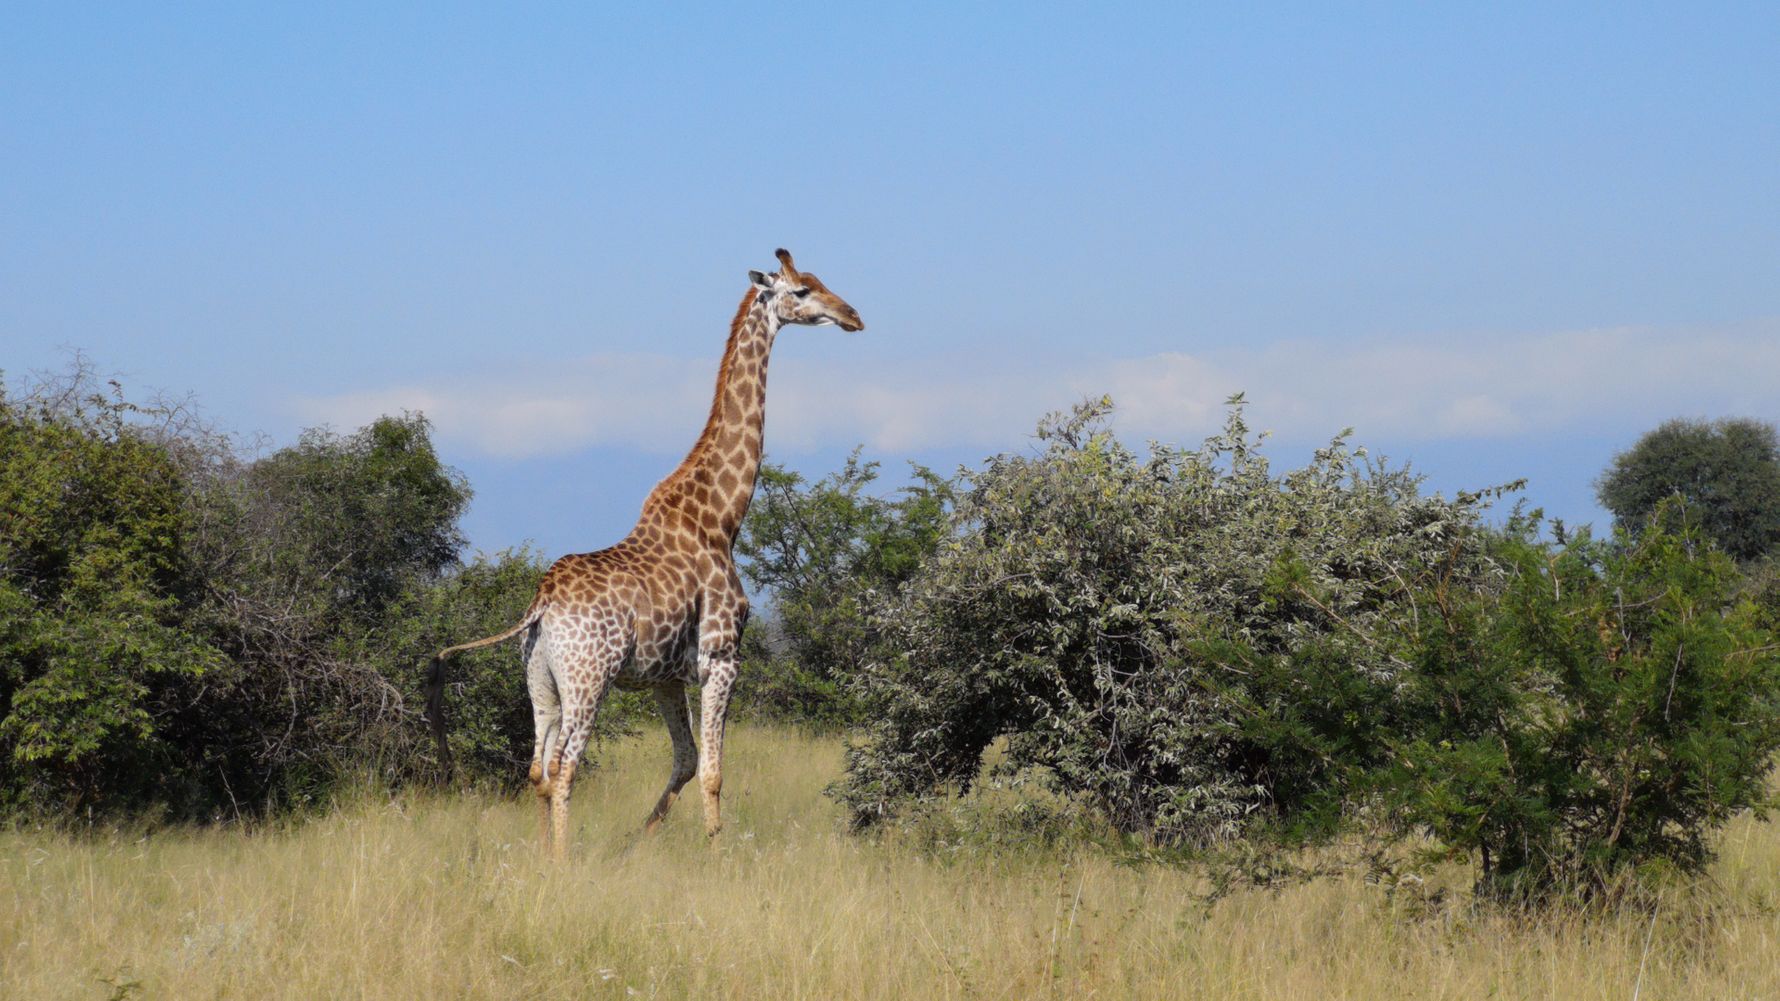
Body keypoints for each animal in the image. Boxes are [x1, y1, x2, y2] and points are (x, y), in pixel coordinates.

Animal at [425, 248, 863, 858]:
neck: (722, 518)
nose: (852, 316)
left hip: (541, 682)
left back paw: (542, 853)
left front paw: (640, 841)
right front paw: (717, 852)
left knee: (537, 769)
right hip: (589, 680)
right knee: (565, 768)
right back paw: (562, 863)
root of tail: (541, 604)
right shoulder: (720, 657)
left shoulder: (664, 676)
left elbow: (685, 760)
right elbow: (713, 770)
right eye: (801, 291)